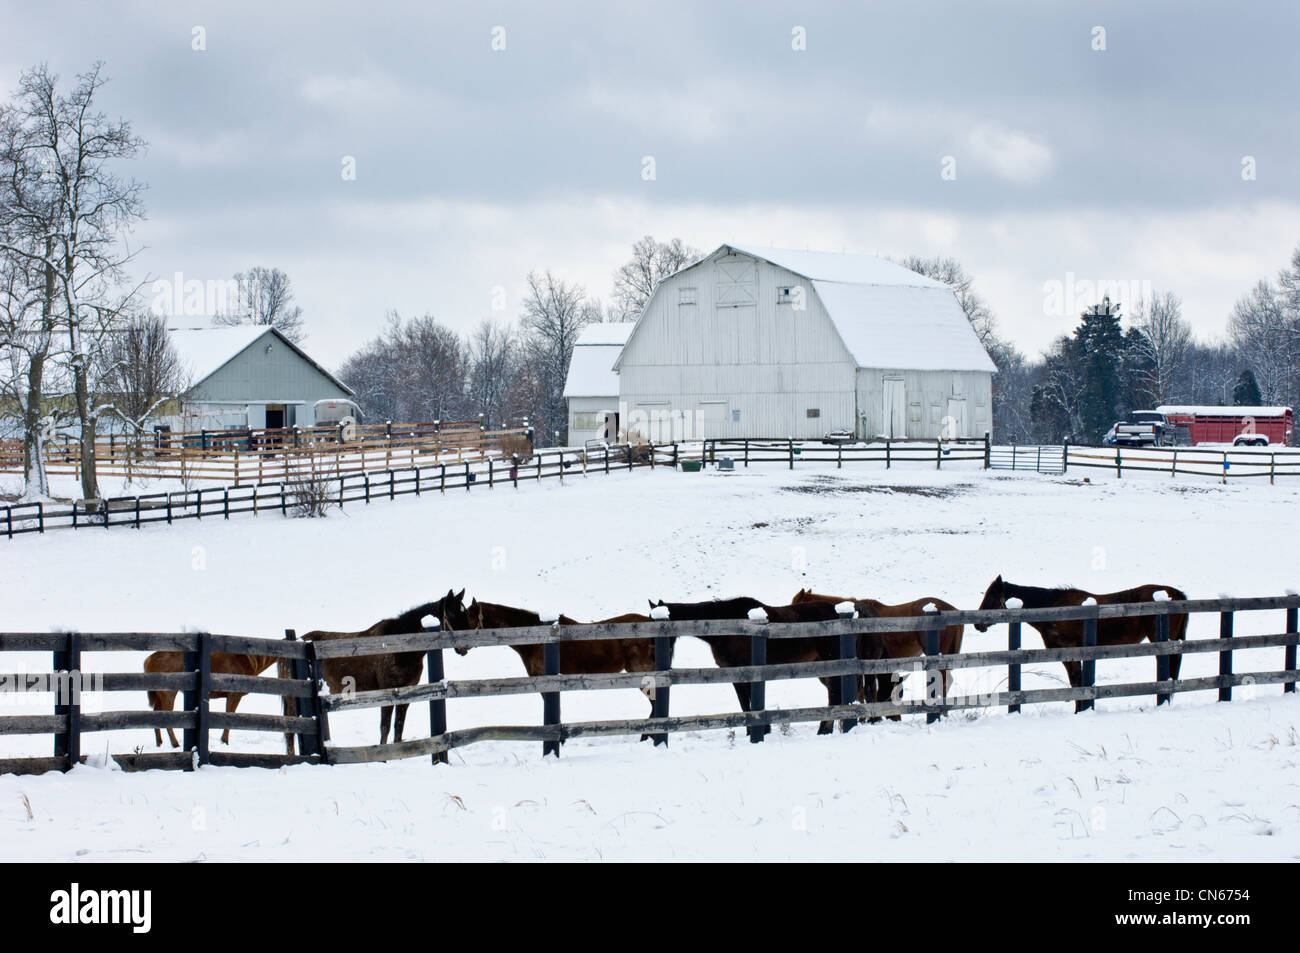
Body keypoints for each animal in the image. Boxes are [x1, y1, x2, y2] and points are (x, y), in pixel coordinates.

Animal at [144, 650, 292, 748]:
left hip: (159, 694)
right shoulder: (233, 695)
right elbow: (229, 716)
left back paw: (159, 742)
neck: (248, 663)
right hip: (168, 692)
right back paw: (175, 743)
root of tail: (148, 661)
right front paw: (224, 741)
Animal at [302, 587, 467, 743]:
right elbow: (385, 727)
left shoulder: (407, 691)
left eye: (464, 612)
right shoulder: (387, 691)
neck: (402, 648)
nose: (464, 647)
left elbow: (398, 726)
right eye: (452, 614)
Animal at [647, 595, 852, 738]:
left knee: (834, 695)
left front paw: (761, 730)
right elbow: (745, 704)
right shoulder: (735, 674)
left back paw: (823, 730)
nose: (652, 655)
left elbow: (751, 702)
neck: (727, 627)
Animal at [977, 572, 1190, 686]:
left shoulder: (1069, 653)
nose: (978, 624)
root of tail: (1177, 595)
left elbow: (1077, 682)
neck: (1052, 608)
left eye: (990, 596)